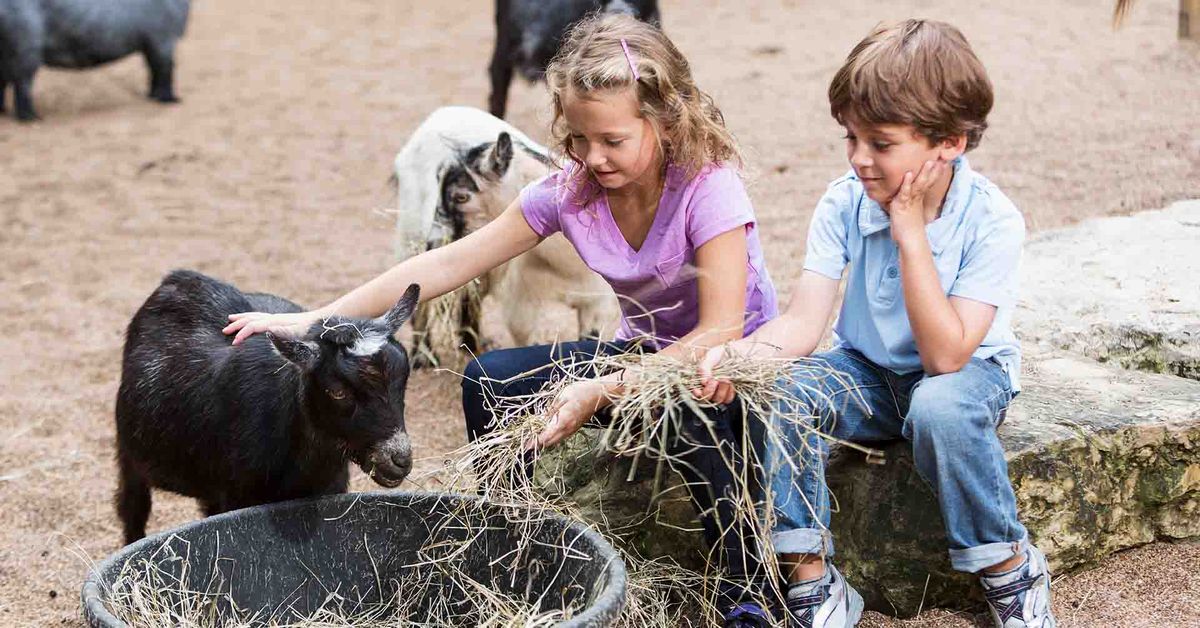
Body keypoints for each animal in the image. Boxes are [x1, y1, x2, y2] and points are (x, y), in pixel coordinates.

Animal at [112, 270, 420, 545]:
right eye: (338, 391)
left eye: (403, 379)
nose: (399, 460)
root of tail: (176, 279)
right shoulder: (237, 495)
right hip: (129, 454)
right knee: (132, 507)